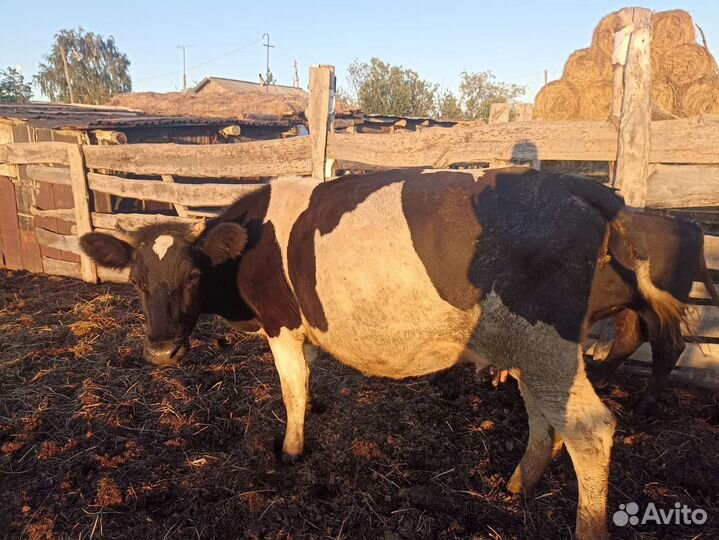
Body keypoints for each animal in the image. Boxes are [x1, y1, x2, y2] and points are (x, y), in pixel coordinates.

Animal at [79, 167, 684, 540]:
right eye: (137, 282)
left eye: (191, 277)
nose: (160, 350)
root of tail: (585, 189)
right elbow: (309, 380)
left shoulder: (282, 325)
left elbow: (291, 388)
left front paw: (291, 449)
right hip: (532, 348)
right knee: (545, 418)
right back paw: (519, 484)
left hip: (547, 344)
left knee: (590, 428)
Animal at [490, 211, 719, 414]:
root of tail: (691, 226)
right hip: (632, 309)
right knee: (631, 338)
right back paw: (596, 379)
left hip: (660, 313)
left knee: (668, 348)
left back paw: (642, 406)